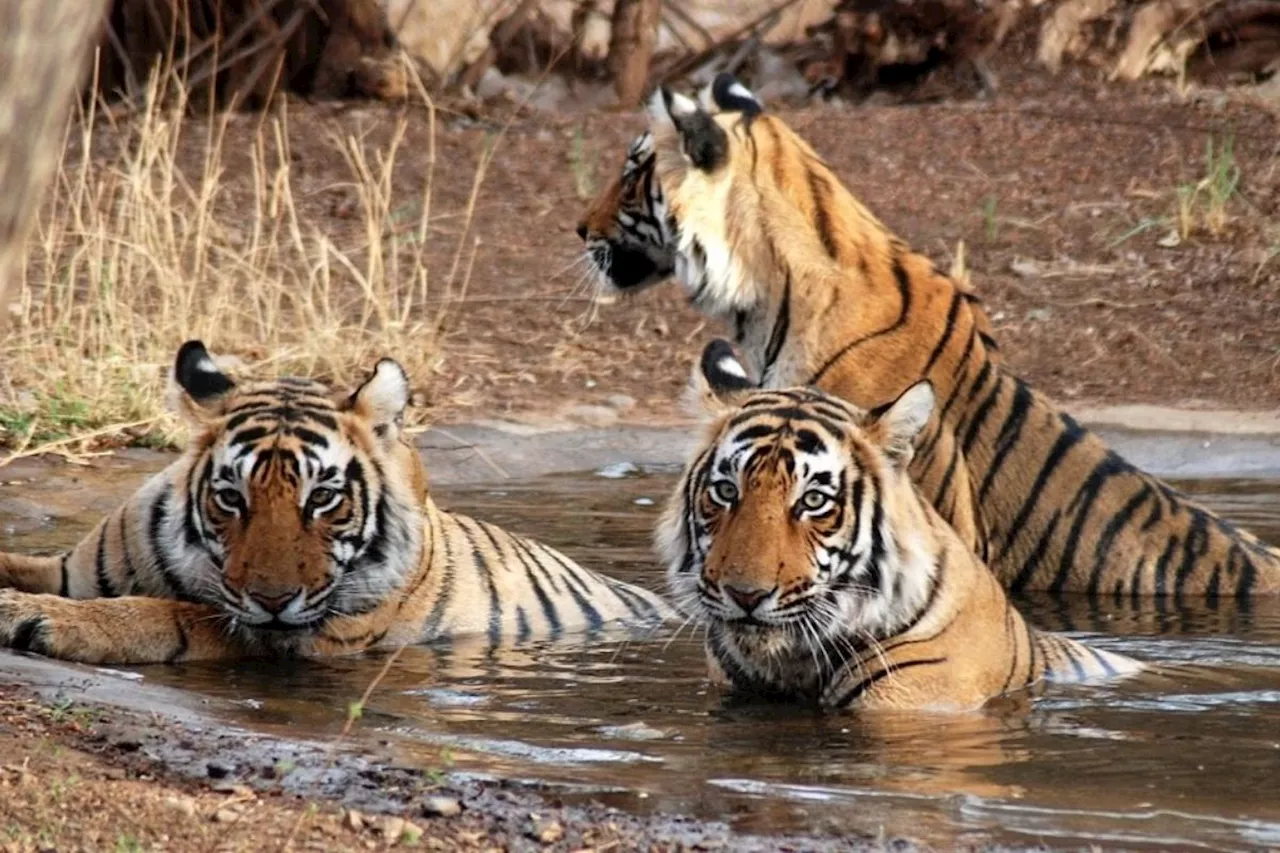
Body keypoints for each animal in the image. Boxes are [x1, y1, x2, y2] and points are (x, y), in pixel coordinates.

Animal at [0, 340, 675, 666]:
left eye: (323, 498)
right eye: (231, 498)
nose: (272, 600)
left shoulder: (294, 637)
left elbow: (166, 614)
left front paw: (38, 619)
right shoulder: (69, 568)